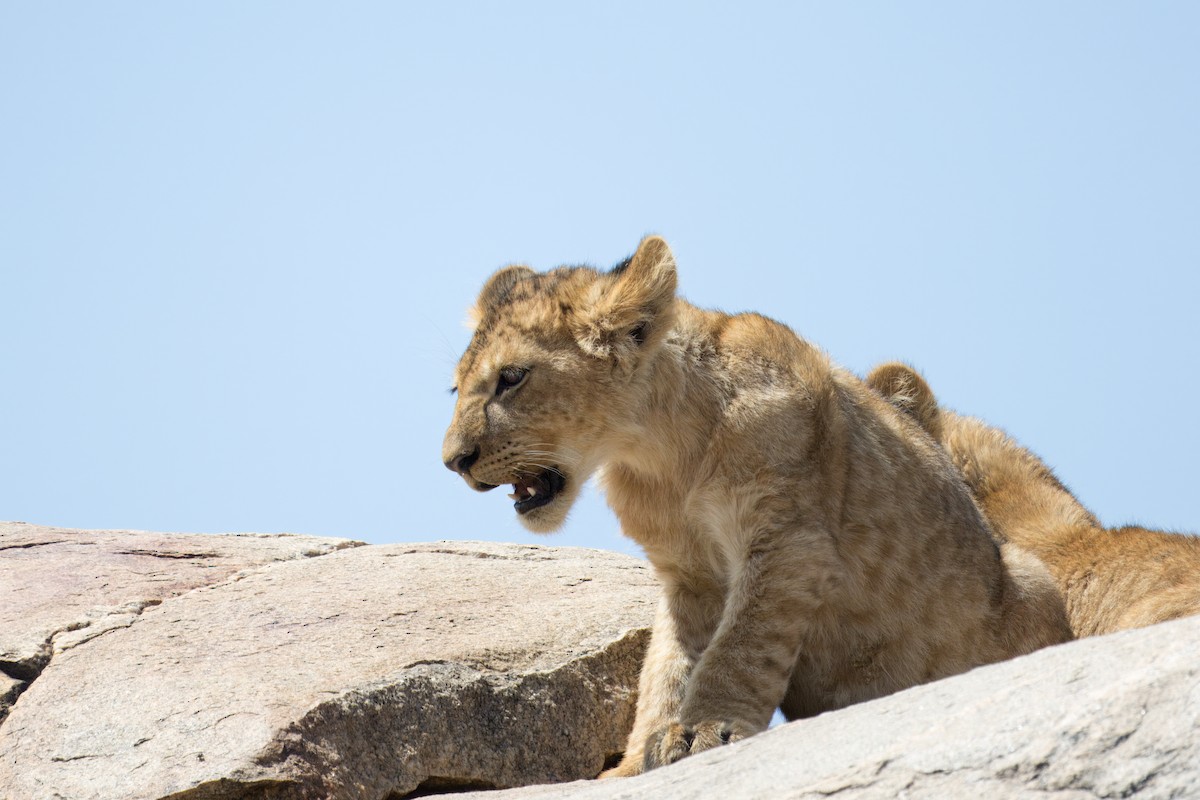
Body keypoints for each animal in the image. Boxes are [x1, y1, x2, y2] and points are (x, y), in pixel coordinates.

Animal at [442, 237, 1071, 776]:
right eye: (456, 389)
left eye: (512, 377)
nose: (453, 461)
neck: (661, 453)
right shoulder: (688, 573)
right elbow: (669, 665)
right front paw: (640, 754)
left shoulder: (788, 539)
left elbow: (741, 644)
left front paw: (706, 728)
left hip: (1033, 578)